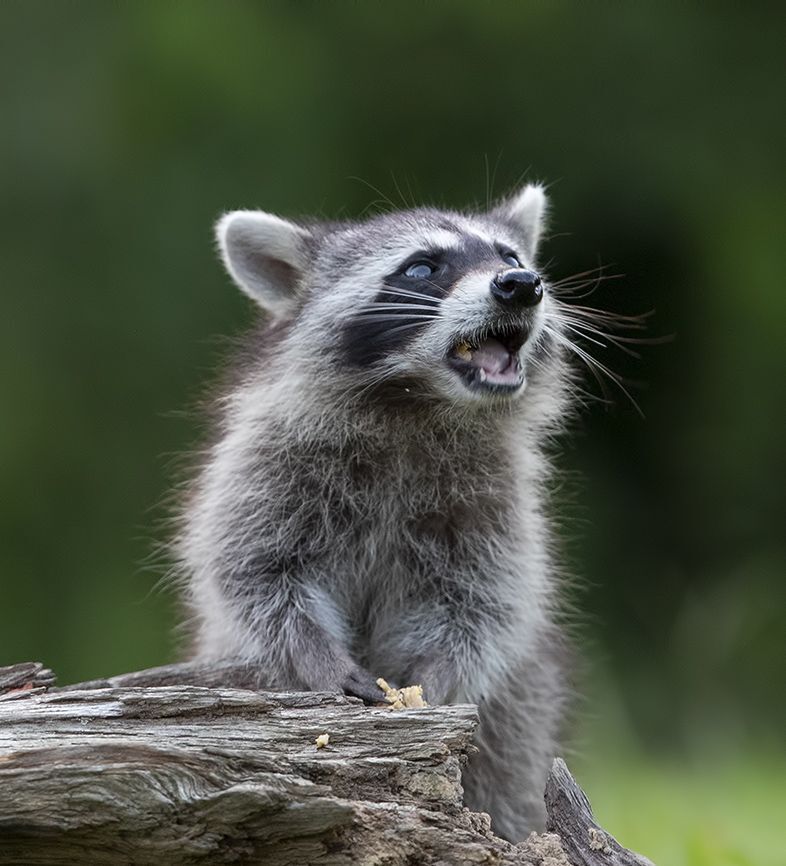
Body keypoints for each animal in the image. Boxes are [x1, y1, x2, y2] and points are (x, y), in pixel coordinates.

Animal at [175, 183, 578, 840]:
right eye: (421, 268)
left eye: (509, 255)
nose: (522, 283)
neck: (416, 403)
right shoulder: (266, 464)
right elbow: (256, 574)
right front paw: (317, 655)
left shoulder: (495, 502)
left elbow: (484, 604)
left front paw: (440, 673)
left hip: (521, 721)